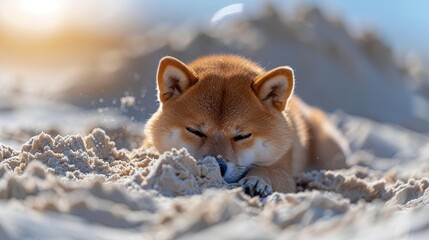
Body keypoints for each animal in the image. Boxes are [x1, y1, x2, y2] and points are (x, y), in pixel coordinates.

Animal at [144, 54, 348, 197]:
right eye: (194, 131)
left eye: (242, 136)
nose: (218, 167)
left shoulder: (286, 172)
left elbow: (271, 170)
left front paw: (257, 180)